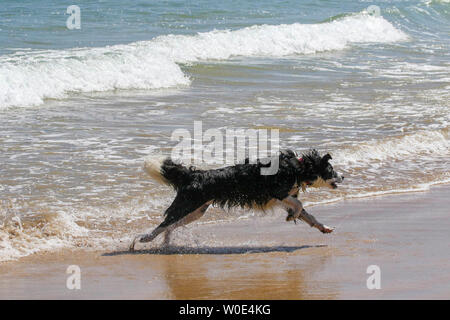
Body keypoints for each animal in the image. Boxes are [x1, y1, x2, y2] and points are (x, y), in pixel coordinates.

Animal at [130, 149, 344, 251]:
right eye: (331, 170)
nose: (343, 176)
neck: (298, 168)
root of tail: (195, 175)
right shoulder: (278, 192)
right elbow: (300, 205)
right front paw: (292, 216)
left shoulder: (283, 198)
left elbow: (308, 214)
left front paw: (323, 227)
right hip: (187, 205)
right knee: (165, 223)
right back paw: (143, 239)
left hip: (196, 210)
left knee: (171, 226)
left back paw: (166, 243)